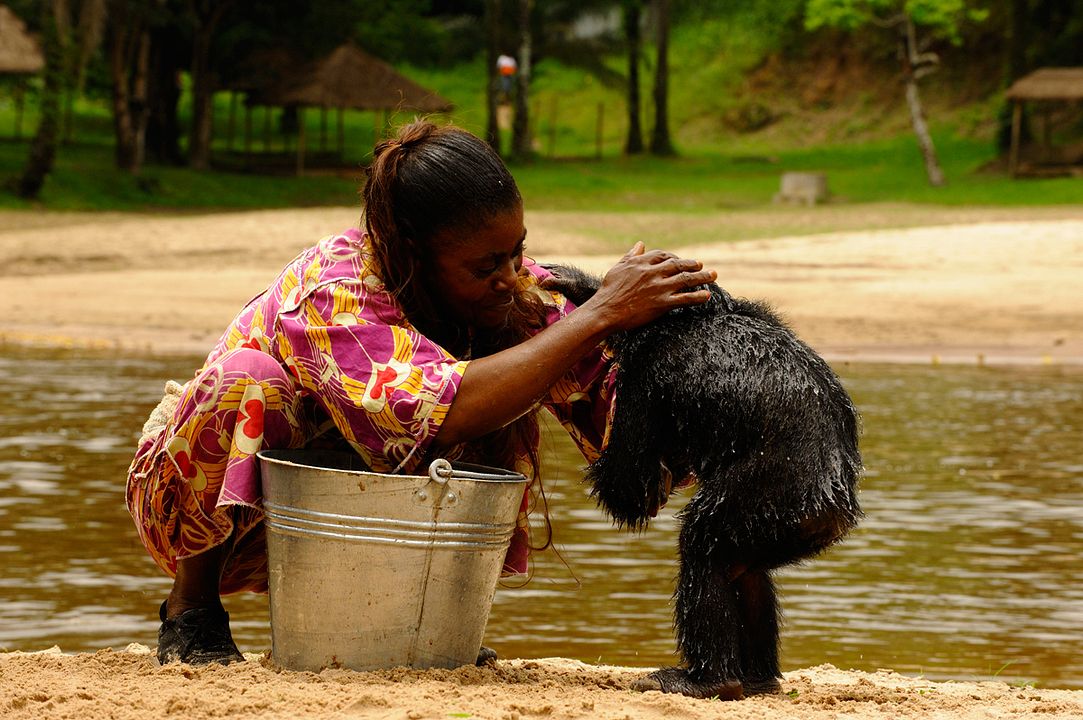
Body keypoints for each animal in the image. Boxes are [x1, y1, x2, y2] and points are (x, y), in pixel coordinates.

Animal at [541, 263, 862, 697]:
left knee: (702, 547)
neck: (693, 319)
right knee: (743, 570)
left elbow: (629, 483)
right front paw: (582, 284)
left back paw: (708, 680)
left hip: (770, 506)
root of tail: (837, 507)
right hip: (785, 530)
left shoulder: (646, 373)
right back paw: (757, 679)